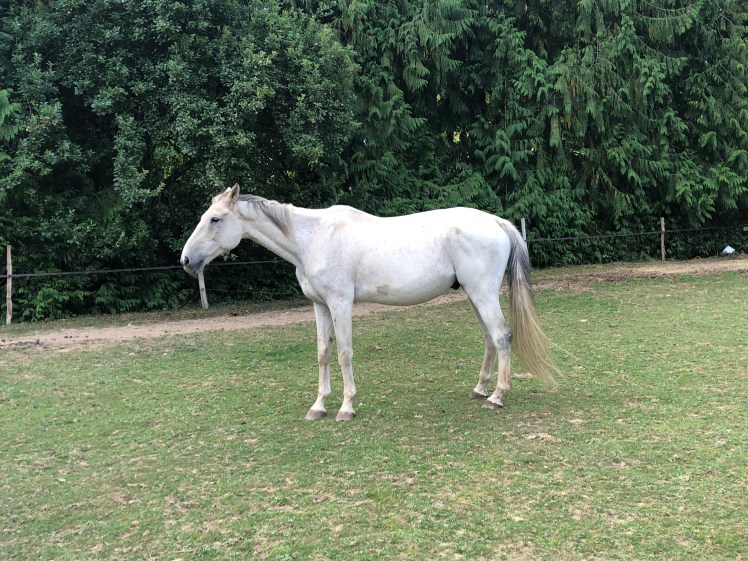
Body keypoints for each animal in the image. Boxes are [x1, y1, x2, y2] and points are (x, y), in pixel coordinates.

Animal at [181, 184, 557, 421]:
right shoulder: (319, 306)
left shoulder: (340, 303)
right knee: (490, 339)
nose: (185, 260)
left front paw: (346, 407)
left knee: (502, 337)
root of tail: (497, 222)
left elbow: (344, 353)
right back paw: (480, 389)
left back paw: (497, 397)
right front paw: (319, 406)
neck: (313, 238)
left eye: (215, 219)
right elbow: (323, 352)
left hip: (482, 293)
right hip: (473, 294)